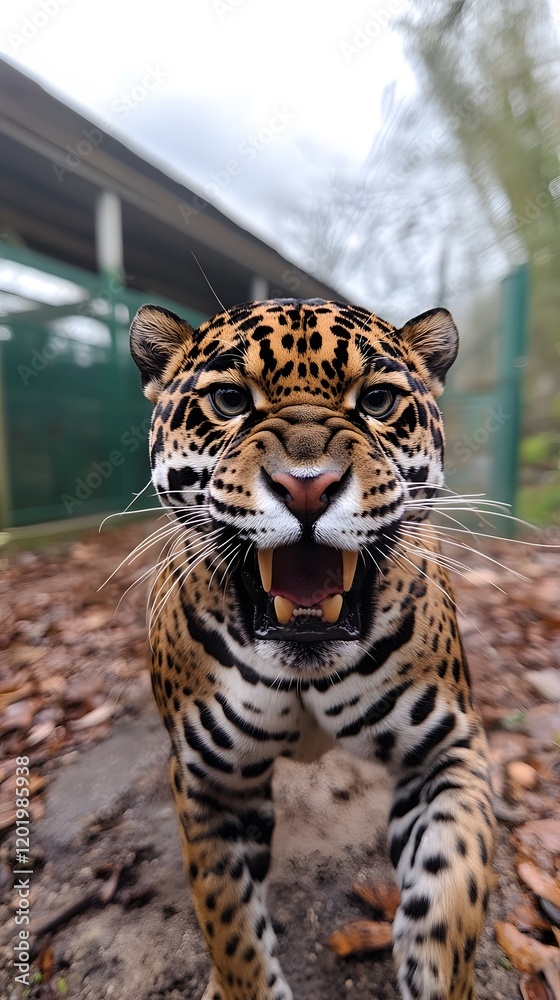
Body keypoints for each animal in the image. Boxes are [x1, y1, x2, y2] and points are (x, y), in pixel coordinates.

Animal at [129, 296, 495, 1000]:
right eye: (228, 400)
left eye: (378, 400)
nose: (306, 485)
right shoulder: (211, 784)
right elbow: (230, 927)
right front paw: (239, 974)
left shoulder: (449, 750)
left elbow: (455, 882)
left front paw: (434, 967)